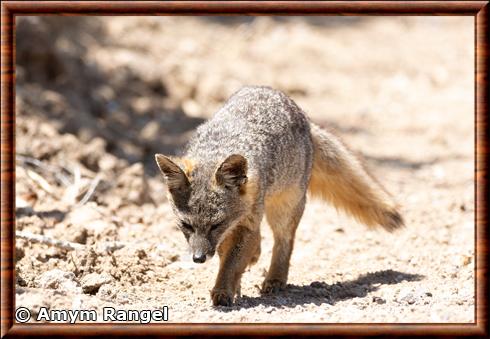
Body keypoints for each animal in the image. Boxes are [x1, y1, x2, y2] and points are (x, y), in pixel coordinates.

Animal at [155, 85, 404, 308]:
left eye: (216, 224)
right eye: (186, 225)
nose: (198, 258)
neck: (218, 148)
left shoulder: (244, 223)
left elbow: (231, 263)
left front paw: (223, 290)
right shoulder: (237, 226)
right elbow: (228, 256)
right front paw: (232, 284)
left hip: (284, 209)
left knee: (284, 241)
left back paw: (275, 279)